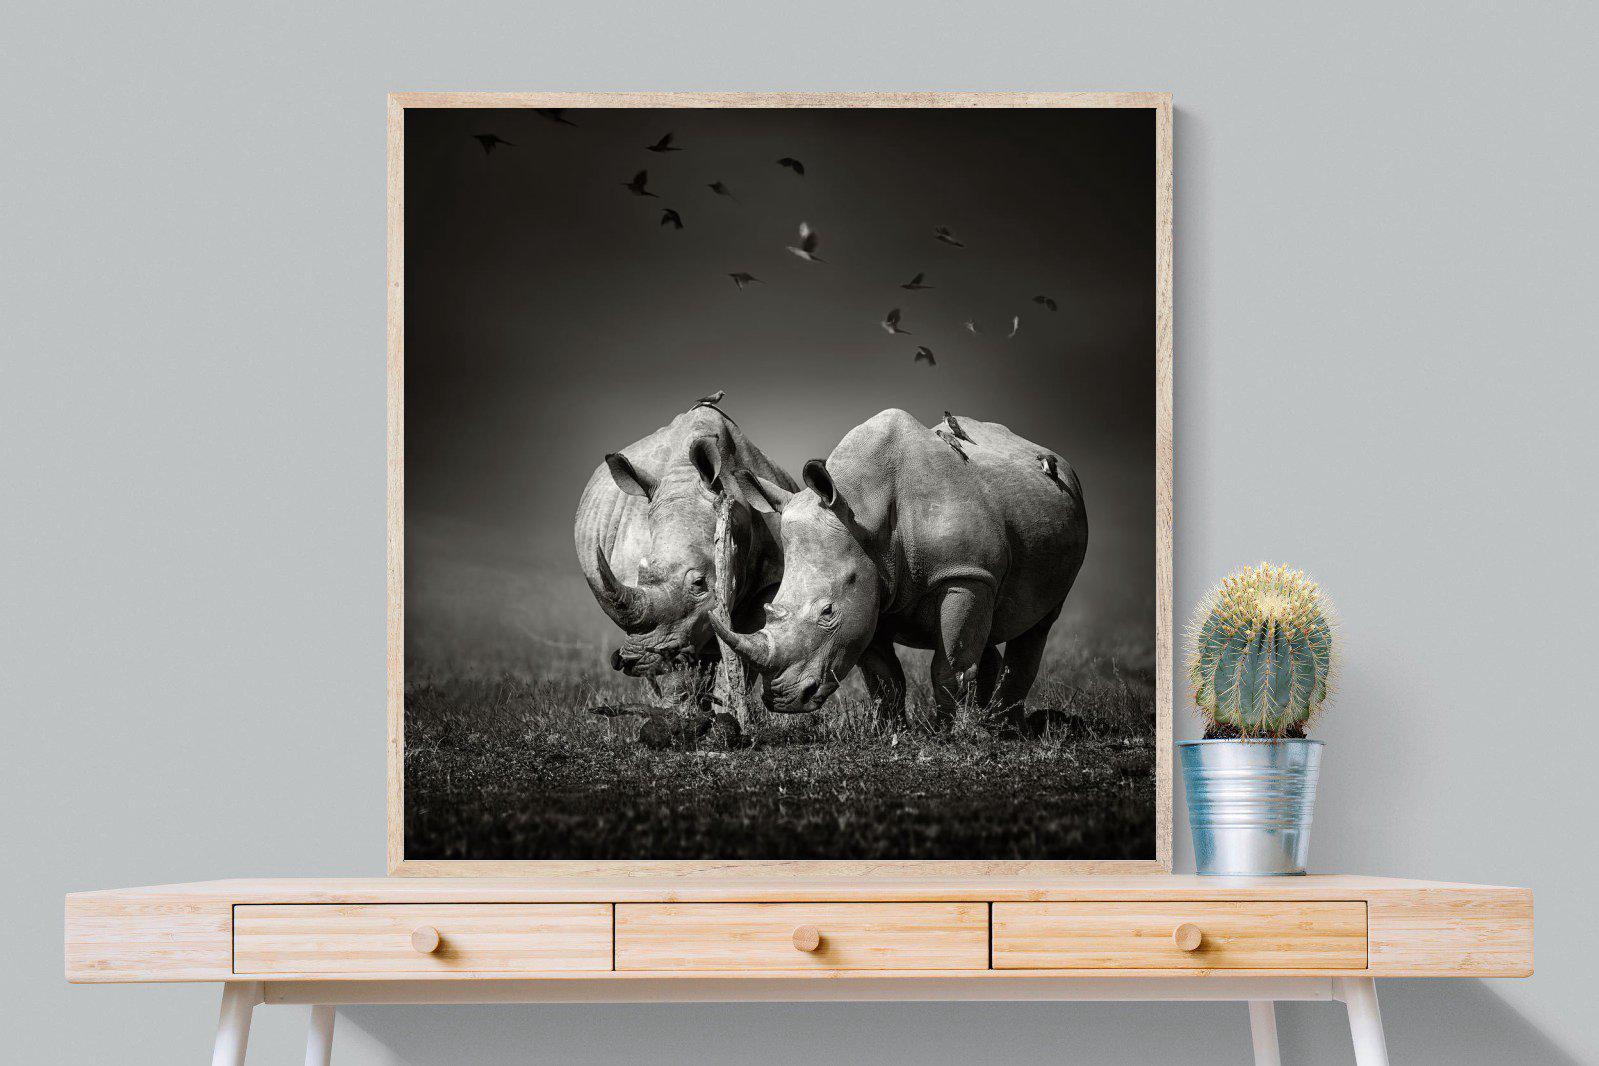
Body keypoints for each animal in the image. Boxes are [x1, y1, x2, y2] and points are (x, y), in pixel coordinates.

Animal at [710, 408, 1087, 721]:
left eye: (828, 612)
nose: (781, 700)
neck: (862, 509)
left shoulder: (965, 574)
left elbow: (950, 666)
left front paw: (952, 734)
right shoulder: (870, 584)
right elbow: (884, 676)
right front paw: (890, 732)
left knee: (1038, 625)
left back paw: (1005, 728)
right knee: (989, 629)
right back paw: (990, 721)